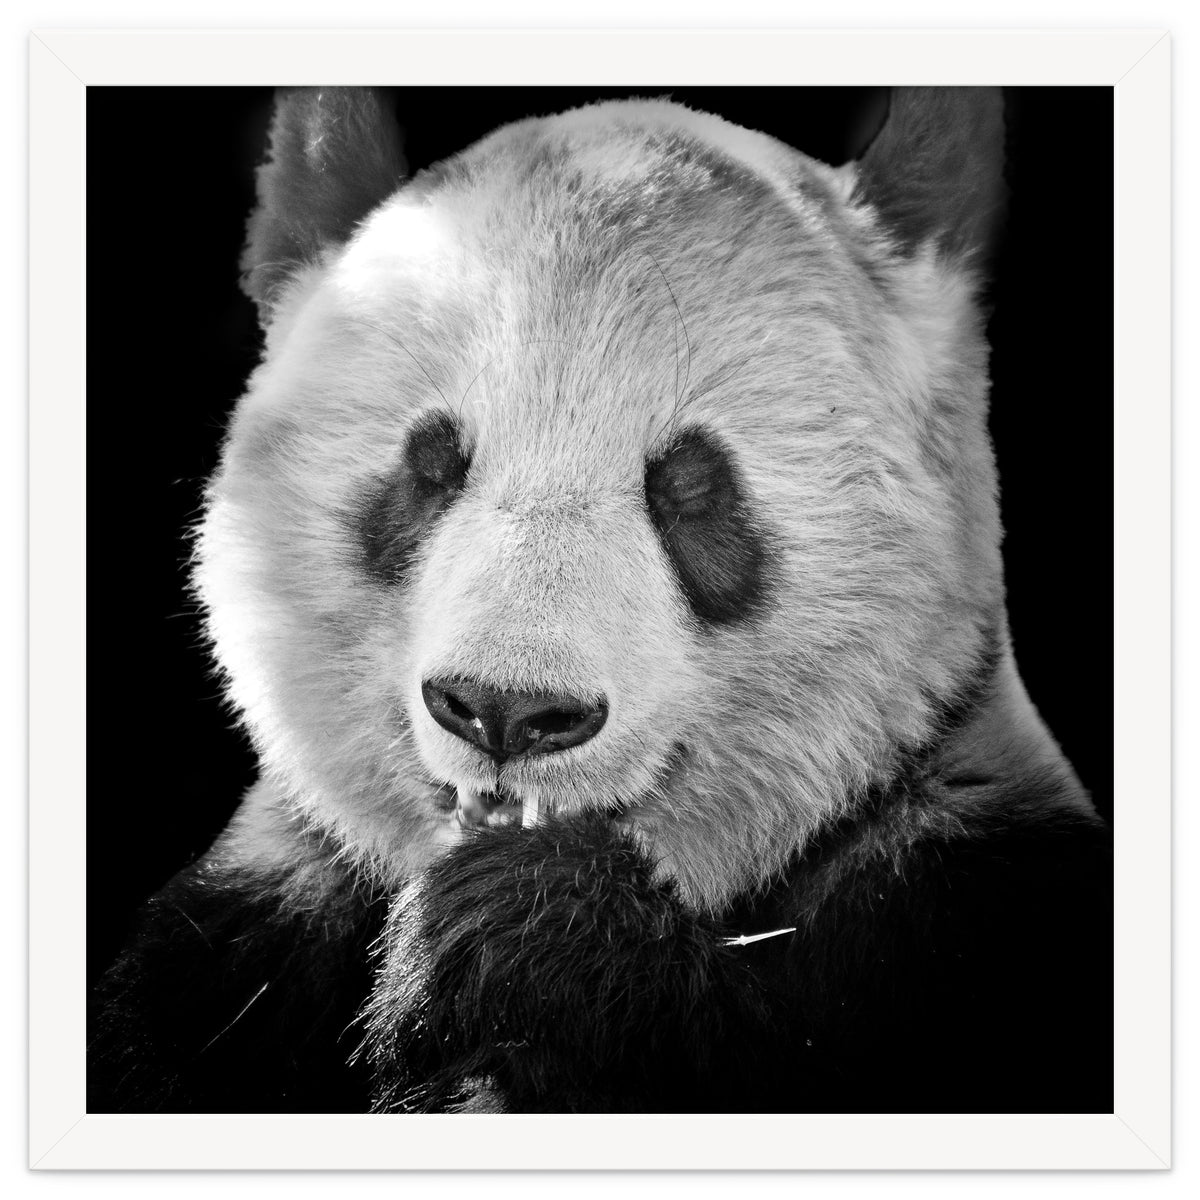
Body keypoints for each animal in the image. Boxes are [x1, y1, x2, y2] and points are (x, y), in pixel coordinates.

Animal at [88, 86, 1113, 1116]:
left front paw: (527, 933)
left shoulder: (963, 902)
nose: (506, 710)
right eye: (431, 465)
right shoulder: (237, 945)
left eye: (691, 487)